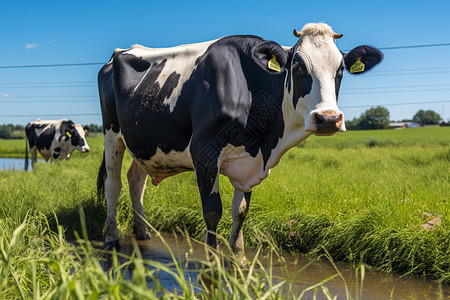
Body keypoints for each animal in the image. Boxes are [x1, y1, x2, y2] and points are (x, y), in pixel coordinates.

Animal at [96, 22, 382, 260]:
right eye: (298, 67)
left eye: (341, 69)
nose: (328, 118)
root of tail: (120, 53)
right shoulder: (204, 150)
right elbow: (213, 210)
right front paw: (212, 264)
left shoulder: (249, 165)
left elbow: (241, 211)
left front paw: (240, 260)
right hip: (112, 134)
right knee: (113, 185)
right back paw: (111, 239)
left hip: (144, 143)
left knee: (136, 181)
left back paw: (142, 232)